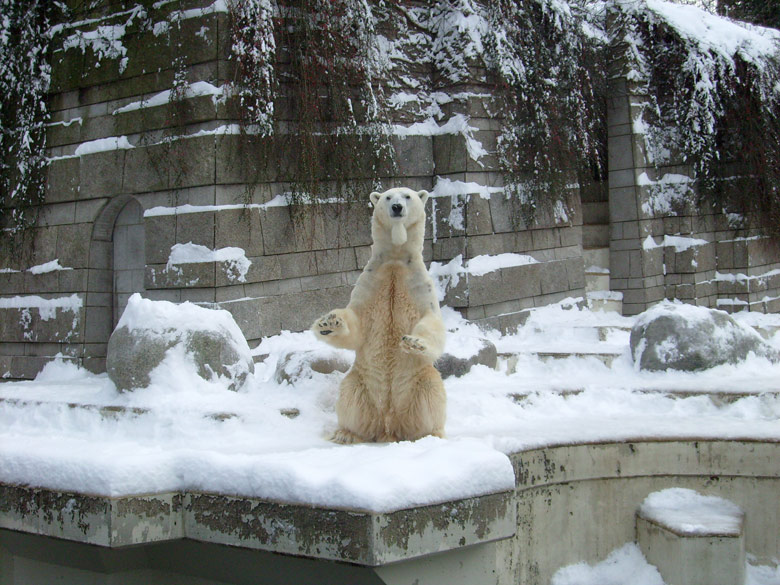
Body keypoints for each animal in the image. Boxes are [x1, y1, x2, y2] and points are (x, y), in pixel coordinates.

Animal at [310, 187, 444, 442]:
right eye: (388, 197)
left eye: (407, 196)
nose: (397, 207)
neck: (396, 256)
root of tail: (388, 425)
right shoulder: (372, 279)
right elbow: (357, 321)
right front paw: (328, 322)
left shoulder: (419, 283)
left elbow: (431, 321)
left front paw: (414, 343)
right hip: (360, 381)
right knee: (349, 397)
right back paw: (346, 434)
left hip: (420, 377)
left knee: (431, 394)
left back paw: (428, 435)